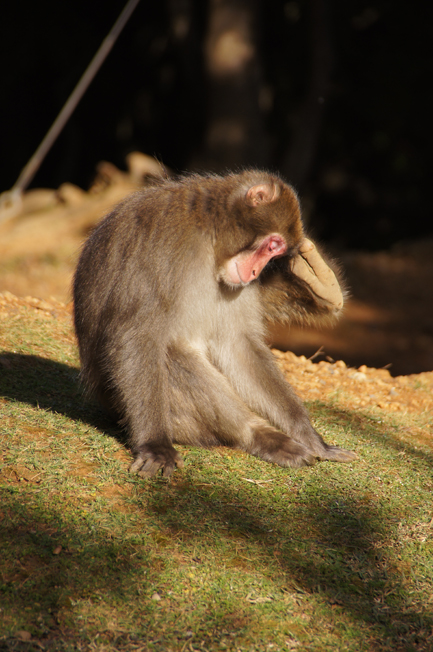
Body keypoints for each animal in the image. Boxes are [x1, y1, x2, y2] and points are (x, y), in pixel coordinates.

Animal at [73, 168, 354, 476]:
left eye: (276, 253)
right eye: (272, 245)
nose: (255, 272)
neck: (209, 233)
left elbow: (237, 344)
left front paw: (309, 436)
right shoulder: (160, 242)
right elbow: (138, 335)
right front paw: (154, 444)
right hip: (155, 415)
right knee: (170, 352)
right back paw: (256, 435)